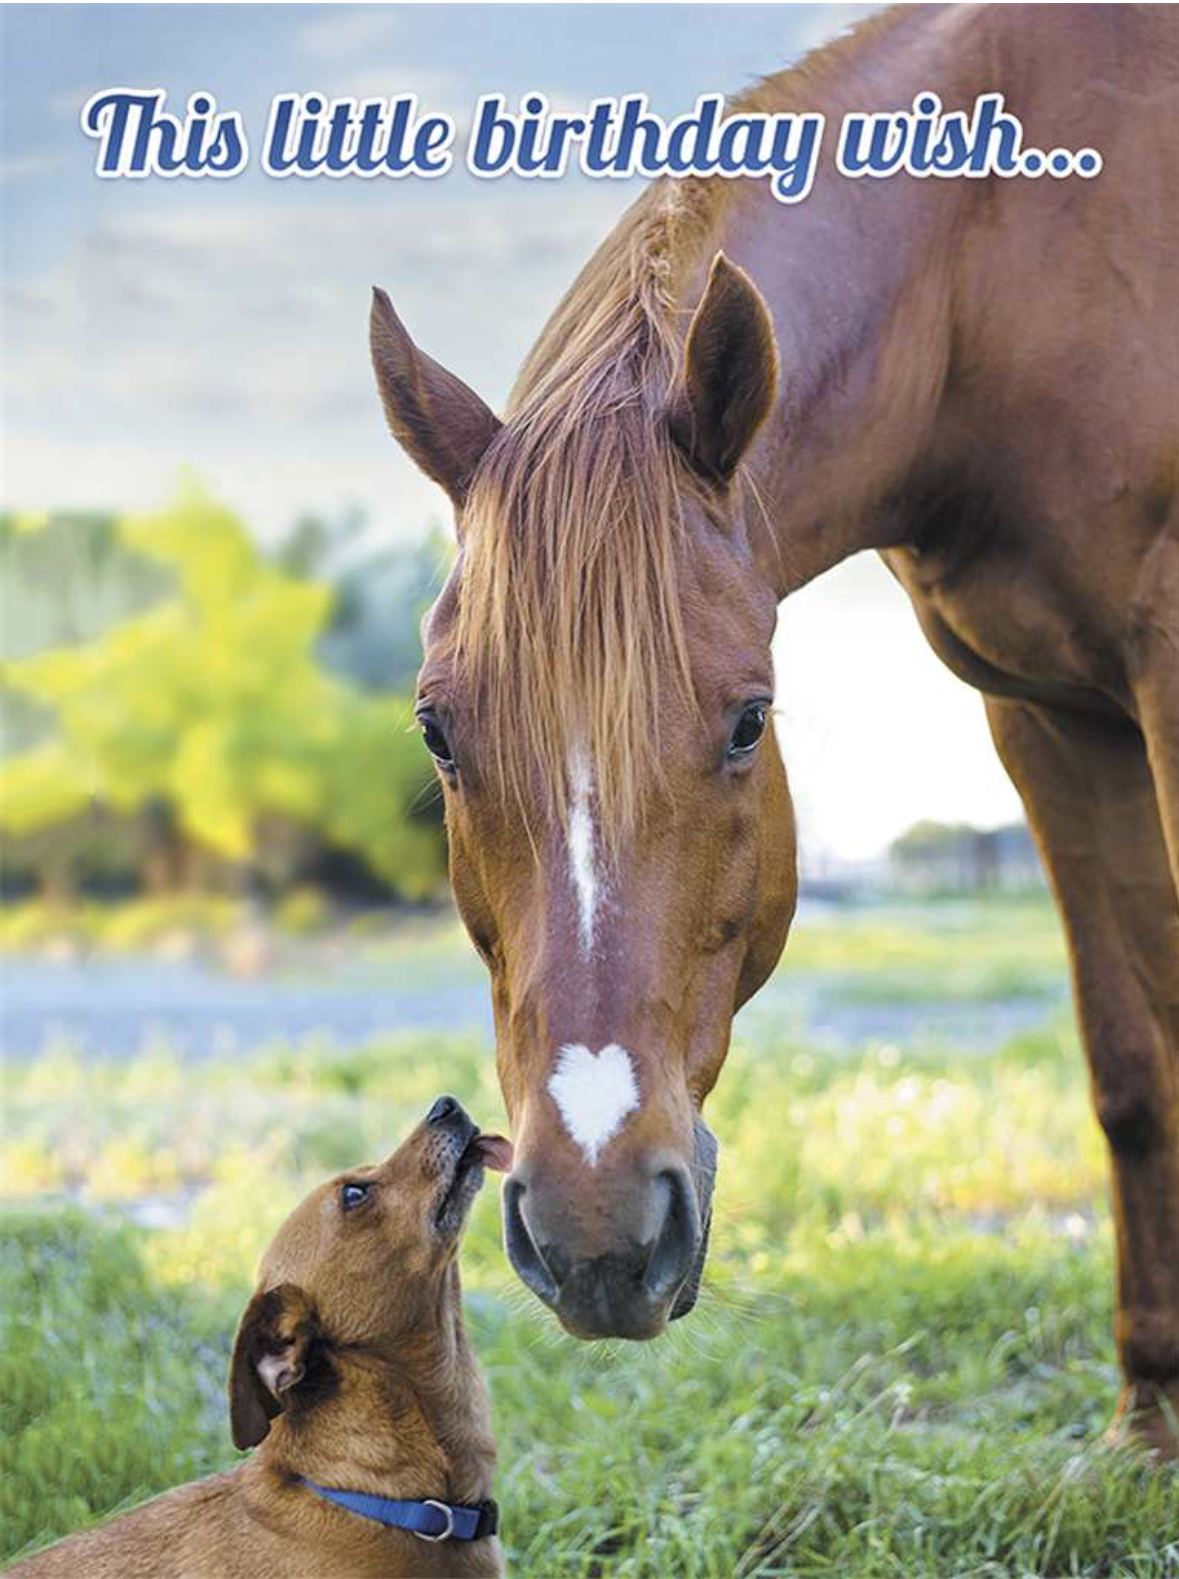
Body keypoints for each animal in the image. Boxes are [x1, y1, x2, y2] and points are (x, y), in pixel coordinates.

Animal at [370, 3, 1179, 1452]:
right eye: (436, 735)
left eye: (749, 721)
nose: (595, 1232)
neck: (998, 263)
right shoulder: (1050, 717)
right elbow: (1132, 1067)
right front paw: (1146, 1422)